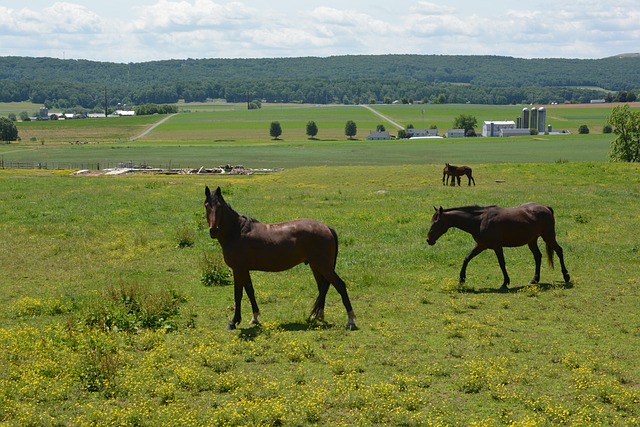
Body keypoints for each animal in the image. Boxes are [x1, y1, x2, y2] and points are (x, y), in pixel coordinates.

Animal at [204, 186, 358, 332]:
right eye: (206, 205)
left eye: (219, 206)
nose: (213, 231)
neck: (237, 232)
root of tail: (327, 228)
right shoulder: (244, 270)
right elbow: (250, 291)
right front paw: (255, 318)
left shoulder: (238, 269)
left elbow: (238, 294)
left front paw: (233, 322)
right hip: (316, 266)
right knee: (323, 287)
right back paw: (318, 316)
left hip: (323, 265)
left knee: (340, 285)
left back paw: (350, 321)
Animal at [424, 204, 568, 290]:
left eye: (436, 222)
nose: (428, 240)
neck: (480, 220)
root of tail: (546, 208)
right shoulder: (480, 245)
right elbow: (466, 259)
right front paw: (462, 279)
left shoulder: (497, 246)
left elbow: (502, 263)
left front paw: (505, 283)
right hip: (532, 240)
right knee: (538, 256)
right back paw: (534, 279)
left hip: (548, 236)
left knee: (559, 251)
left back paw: (566, 276)